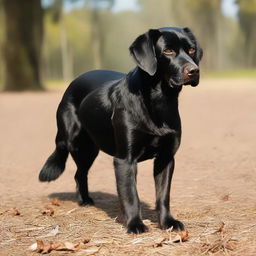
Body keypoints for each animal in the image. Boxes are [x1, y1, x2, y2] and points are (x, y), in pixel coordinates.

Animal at [39, 27, 202, 233]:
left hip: (90, 148)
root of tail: (74, 81)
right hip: (72, 140)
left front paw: (168, 222)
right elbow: (131, 195)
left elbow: (163, 196)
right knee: (71, 163)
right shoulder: (125, 159)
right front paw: (135, 224)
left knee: (79, 173)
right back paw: (84, 200)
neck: (159, 101)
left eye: (191, 50)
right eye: (168, 51)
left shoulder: (166, 158)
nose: (194, 70)